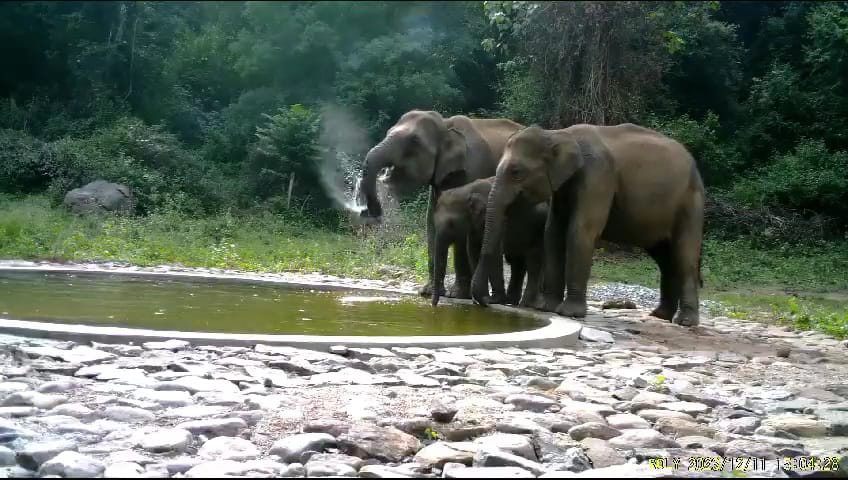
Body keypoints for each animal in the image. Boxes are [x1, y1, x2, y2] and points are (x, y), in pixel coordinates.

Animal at [356, 110, 524, 302]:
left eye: (414, 141)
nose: (373, 213)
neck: (445, 125)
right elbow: (431, 224)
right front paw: (426, 292)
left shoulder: (472, 170)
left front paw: (456, 295)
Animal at [430, 176, 548, 308]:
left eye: (451, 224)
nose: (433, 305)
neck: (466, 190)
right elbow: (473, 251)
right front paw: (483, 299)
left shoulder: (499, 220)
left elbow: (494, 253)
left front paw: (493, 300)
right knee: (517, 262)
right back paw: (511, 301)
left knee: (530, 259)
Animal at [474, 123, 704, 326]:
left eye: (516, 172)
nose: (485, 302)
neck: (558, 133)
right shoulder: (563, 188)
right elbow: (553, 232)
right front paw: (547, 308)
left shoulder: (598, 176)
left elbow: (580, 230)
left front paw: (569, 313)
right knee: (665, 259)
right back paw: (661, 315)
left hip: (690, 203)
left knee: (683, 255)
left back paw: (684, 322)